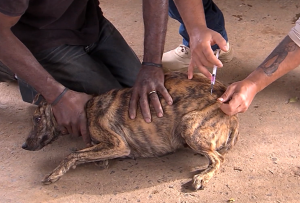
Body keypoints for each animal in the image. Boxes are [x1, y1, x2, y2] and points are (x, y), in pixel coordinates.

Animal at [21, 72, 239, 190]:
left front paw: (55, 173)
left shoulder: (117, 144)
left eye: (37, 119)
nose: (24, 146)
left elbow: (72, 154)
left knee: (218, 159)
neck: (86, 109)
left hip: (188, 124)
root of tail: (233, 115)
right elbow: (87, 154)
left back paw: (202, 177)